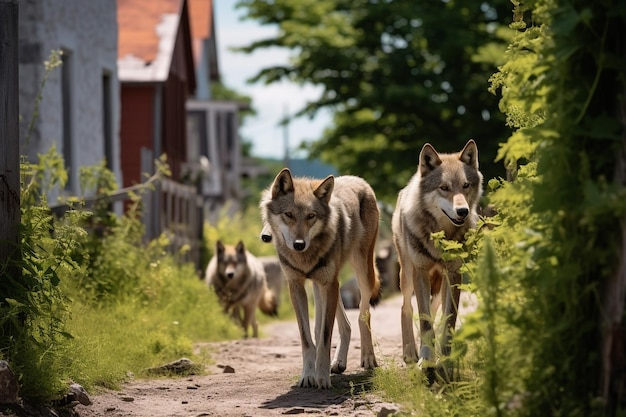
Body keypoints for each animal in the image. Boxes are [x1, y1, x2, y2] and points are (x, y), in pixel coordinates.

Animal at [258, 167, 380, 388]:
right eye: (288, 214)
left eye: (311, 216)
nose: (299, 244)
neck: (304, 258)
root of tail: (357, 179)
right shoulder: (297, 286)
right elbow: (308, 337)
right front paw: (308, 375)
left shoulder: (328, 283)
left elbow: (324, 336)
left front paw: (322, 378)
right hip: (325, 285)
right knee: (344, 325)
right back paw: (339, 363)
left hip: (361, 275)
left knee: (362, 315)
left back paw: (367, 358)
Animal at [390, 139, 482, 380]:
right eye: (444, 188)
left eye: (466, 185)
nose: (462, 211)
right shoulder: (420, 272)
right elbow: (424, 320)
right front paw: (427, 361)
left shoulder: (454, 275)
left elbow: (448, 322)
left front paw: (446, 362)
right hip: (407, 276)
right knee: (405, 308)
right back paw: (410, 353)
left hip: (439, 285)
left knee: (434, 310)